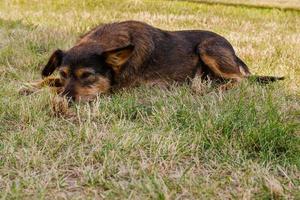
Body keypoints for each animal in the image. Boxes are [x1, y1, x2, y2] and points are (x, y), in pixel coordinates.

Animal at [36, 20, 282, 101]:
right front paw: (31, 86)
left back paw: (215, 89)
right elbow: (48, 82)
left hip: (208, 47)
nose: (64, 101)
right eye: (62, 74)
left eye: (87, 76)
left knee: (241, 79)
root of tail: (233, 51)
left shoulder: (116, 90)